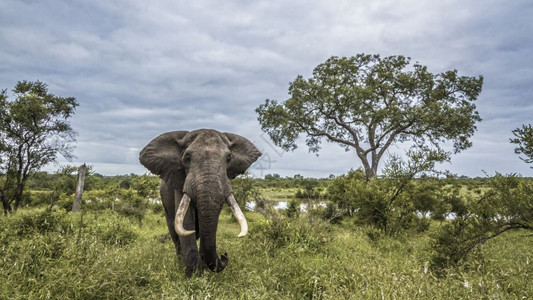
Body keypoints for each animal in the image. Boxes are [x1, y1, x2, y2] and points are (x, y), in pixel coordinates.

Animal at [139, 128, 260, 276]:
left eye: (228, 158)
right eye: (187, 158)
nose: (224, 256)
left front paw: (204, 271)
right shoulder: (180, 181)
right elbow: (186, 221)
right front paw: (194, 275)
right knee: (175, 233)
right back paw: (180, 263)